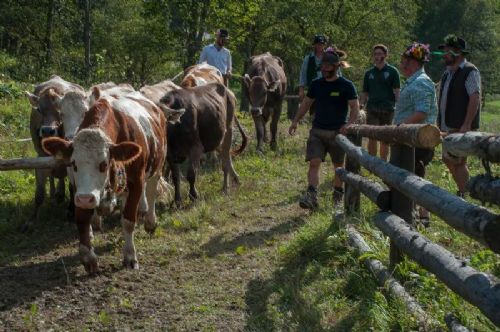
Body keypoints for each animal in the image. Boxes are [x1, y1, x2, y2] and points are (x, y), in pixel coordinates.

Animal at [24, 75, 85, 231]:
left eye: (59, 111)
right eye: (39, 110)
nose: (47, 130)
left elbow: (72, 187)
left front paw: (71, 212)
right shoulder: (40, 158)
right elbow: (39, 193)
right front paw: (31, 220)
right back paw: (54, 193)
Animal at [42, 87, 167, 274]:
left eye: (103, 164)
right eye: (74, 163)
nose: (86, 198)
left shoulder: (136, 181)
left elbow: (128, 220)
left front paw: (130, 256)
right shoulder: (80, 190)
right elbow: (82, 220)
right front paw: (88, 258)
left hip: (158, 165)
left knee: (151, 191)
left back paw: (150, 221)